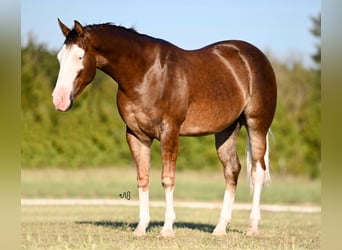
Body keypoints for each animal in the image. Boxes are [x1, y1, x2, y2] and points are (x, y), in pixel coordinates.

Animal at [53, 19, 278, 236]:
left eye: (80, 57)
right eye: (59, 57)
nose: (59, 100)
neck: (144, 74)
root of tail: (256, 57)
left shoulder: (169, 131)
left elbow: (167, 179)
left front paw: (167, 229)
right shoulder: (136, 135)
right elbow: (143, 179)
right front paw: (141, 228)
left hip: (256, 125)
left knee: (257, 170)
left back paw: (252, 228)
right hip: (226, 130)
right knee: (232, 170)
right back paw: (220, 228)